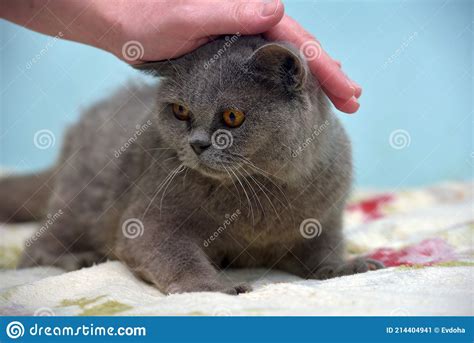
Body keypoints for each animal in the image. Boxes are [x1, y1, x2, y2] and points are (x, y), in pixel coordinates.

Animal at [0, 35, 384, 296]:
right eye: (181, 111)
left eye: (232, 117)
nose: (197, 143)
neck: (258, 191)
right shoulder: (147, 222)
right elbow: (179, 256)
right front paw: (215, 288)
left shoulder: (324, 220)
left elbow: (322, 253)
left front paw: (349, 266)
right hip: (82, 202)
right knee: (36, 248)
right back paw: (76, 260)